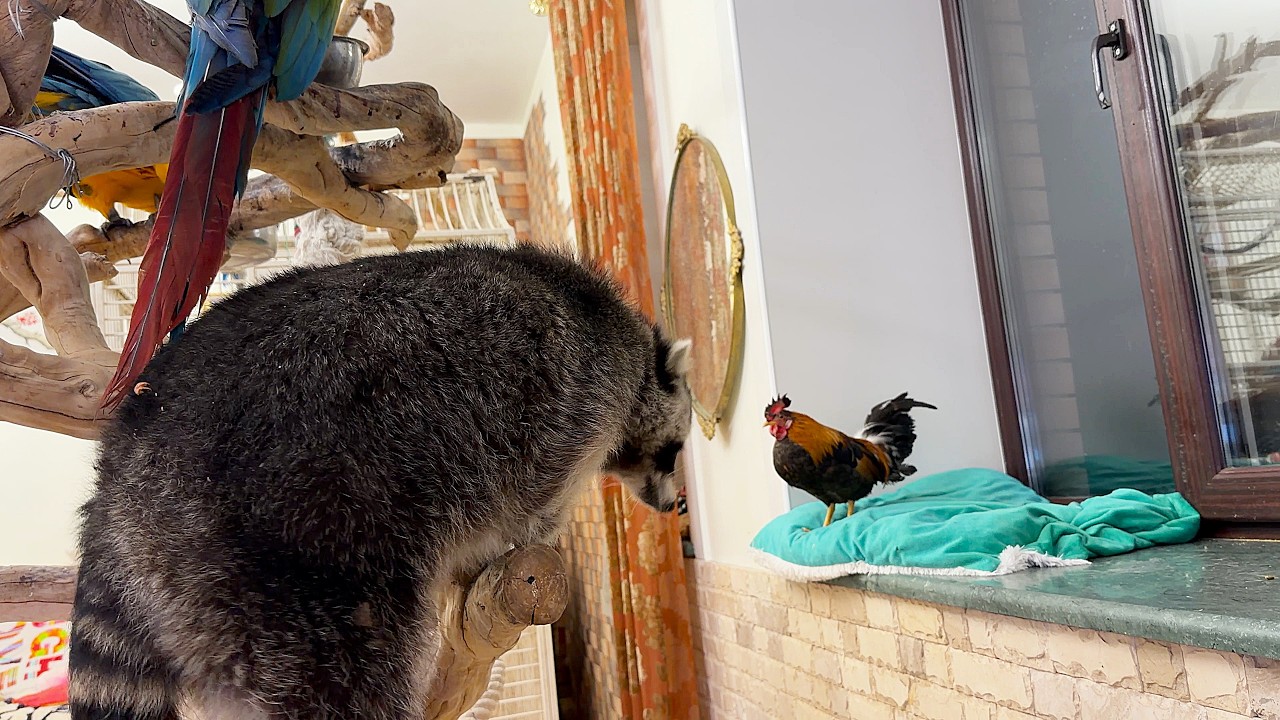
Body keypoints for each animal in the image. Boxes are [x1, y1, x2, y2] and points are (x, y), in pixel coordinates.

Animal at [70, 244, 693, 720]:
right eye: (676, 452)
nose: (672, 506)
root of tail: (125, 451)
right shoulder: (580, 398)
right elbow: (537, 498)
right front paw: (518, 539)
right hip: (284, 539)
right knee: (343, 669)